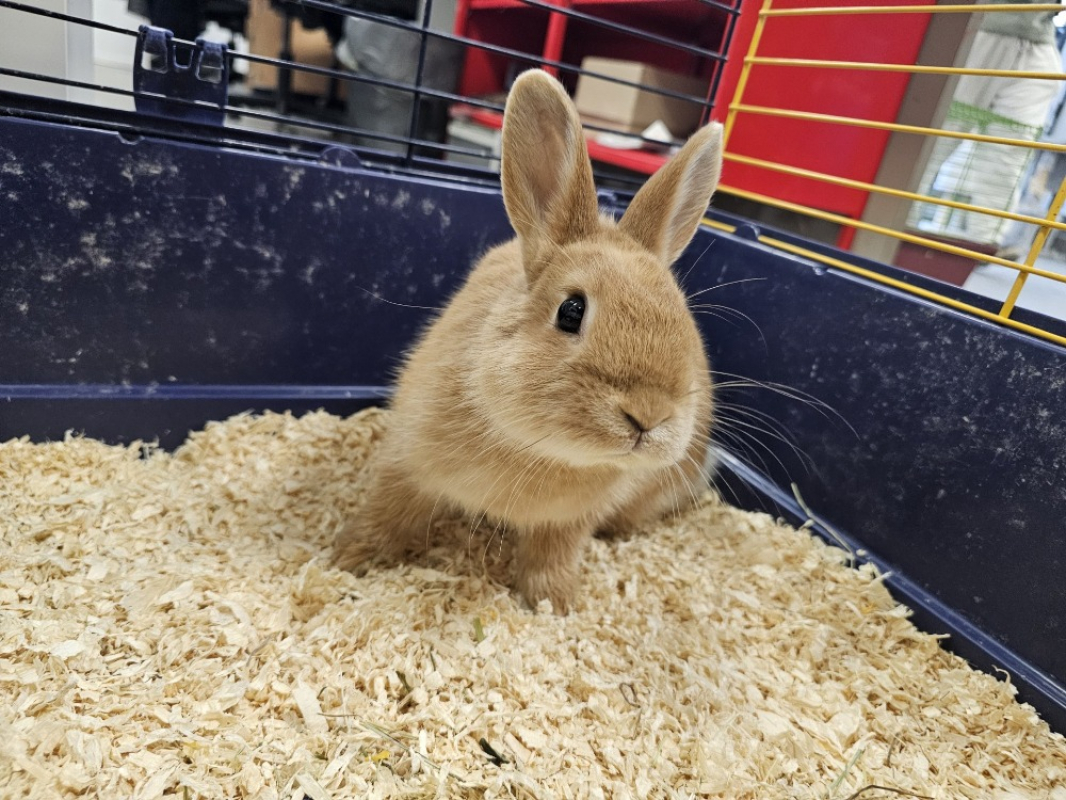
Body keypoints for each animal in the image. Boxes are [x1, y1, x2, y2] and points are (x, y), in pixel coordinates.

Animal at [333, 68, 722, 613]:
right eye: (571, 311)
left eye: (682, 316)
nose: (649, 415)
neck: (542, 449)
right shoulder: (406, 466)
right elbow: (386, 515)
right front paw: (347, 560)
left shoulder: (568, 523)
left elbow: (551, 557)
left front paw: (555, 605)